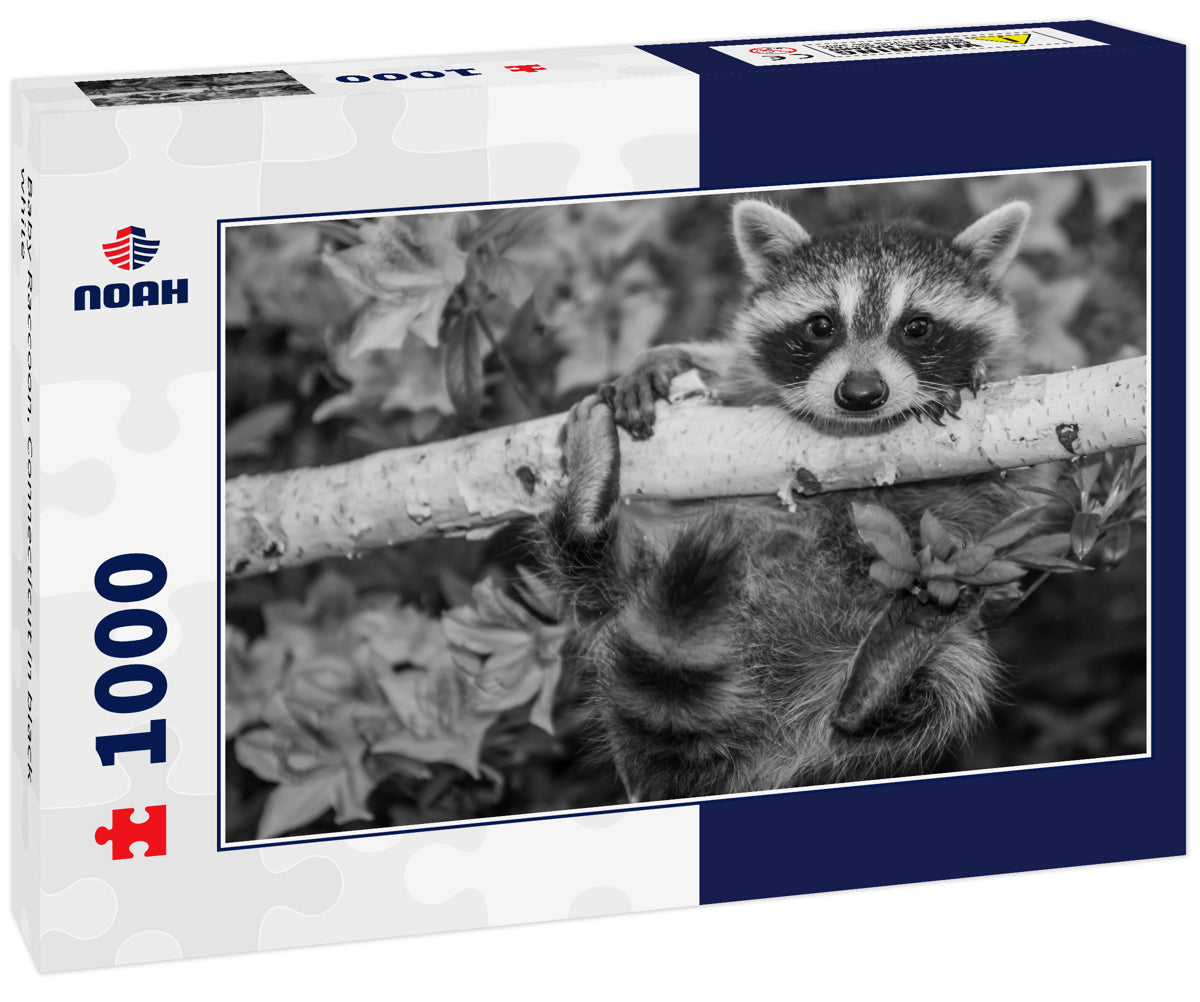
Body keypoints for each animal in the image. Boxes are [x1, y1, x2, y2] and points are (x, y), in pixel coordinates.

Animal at [539, 198, 1032, 802]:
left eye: (917, 327)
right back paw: (584, 521)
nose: (861, 394)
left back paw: (879, 681)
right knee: (593, 576)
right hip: (638, 592)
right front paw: (662, 359)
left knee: (939, 690)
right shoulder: (743, 381)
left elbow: (1004, 494)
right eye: (821, 325)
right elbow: (723, 366)